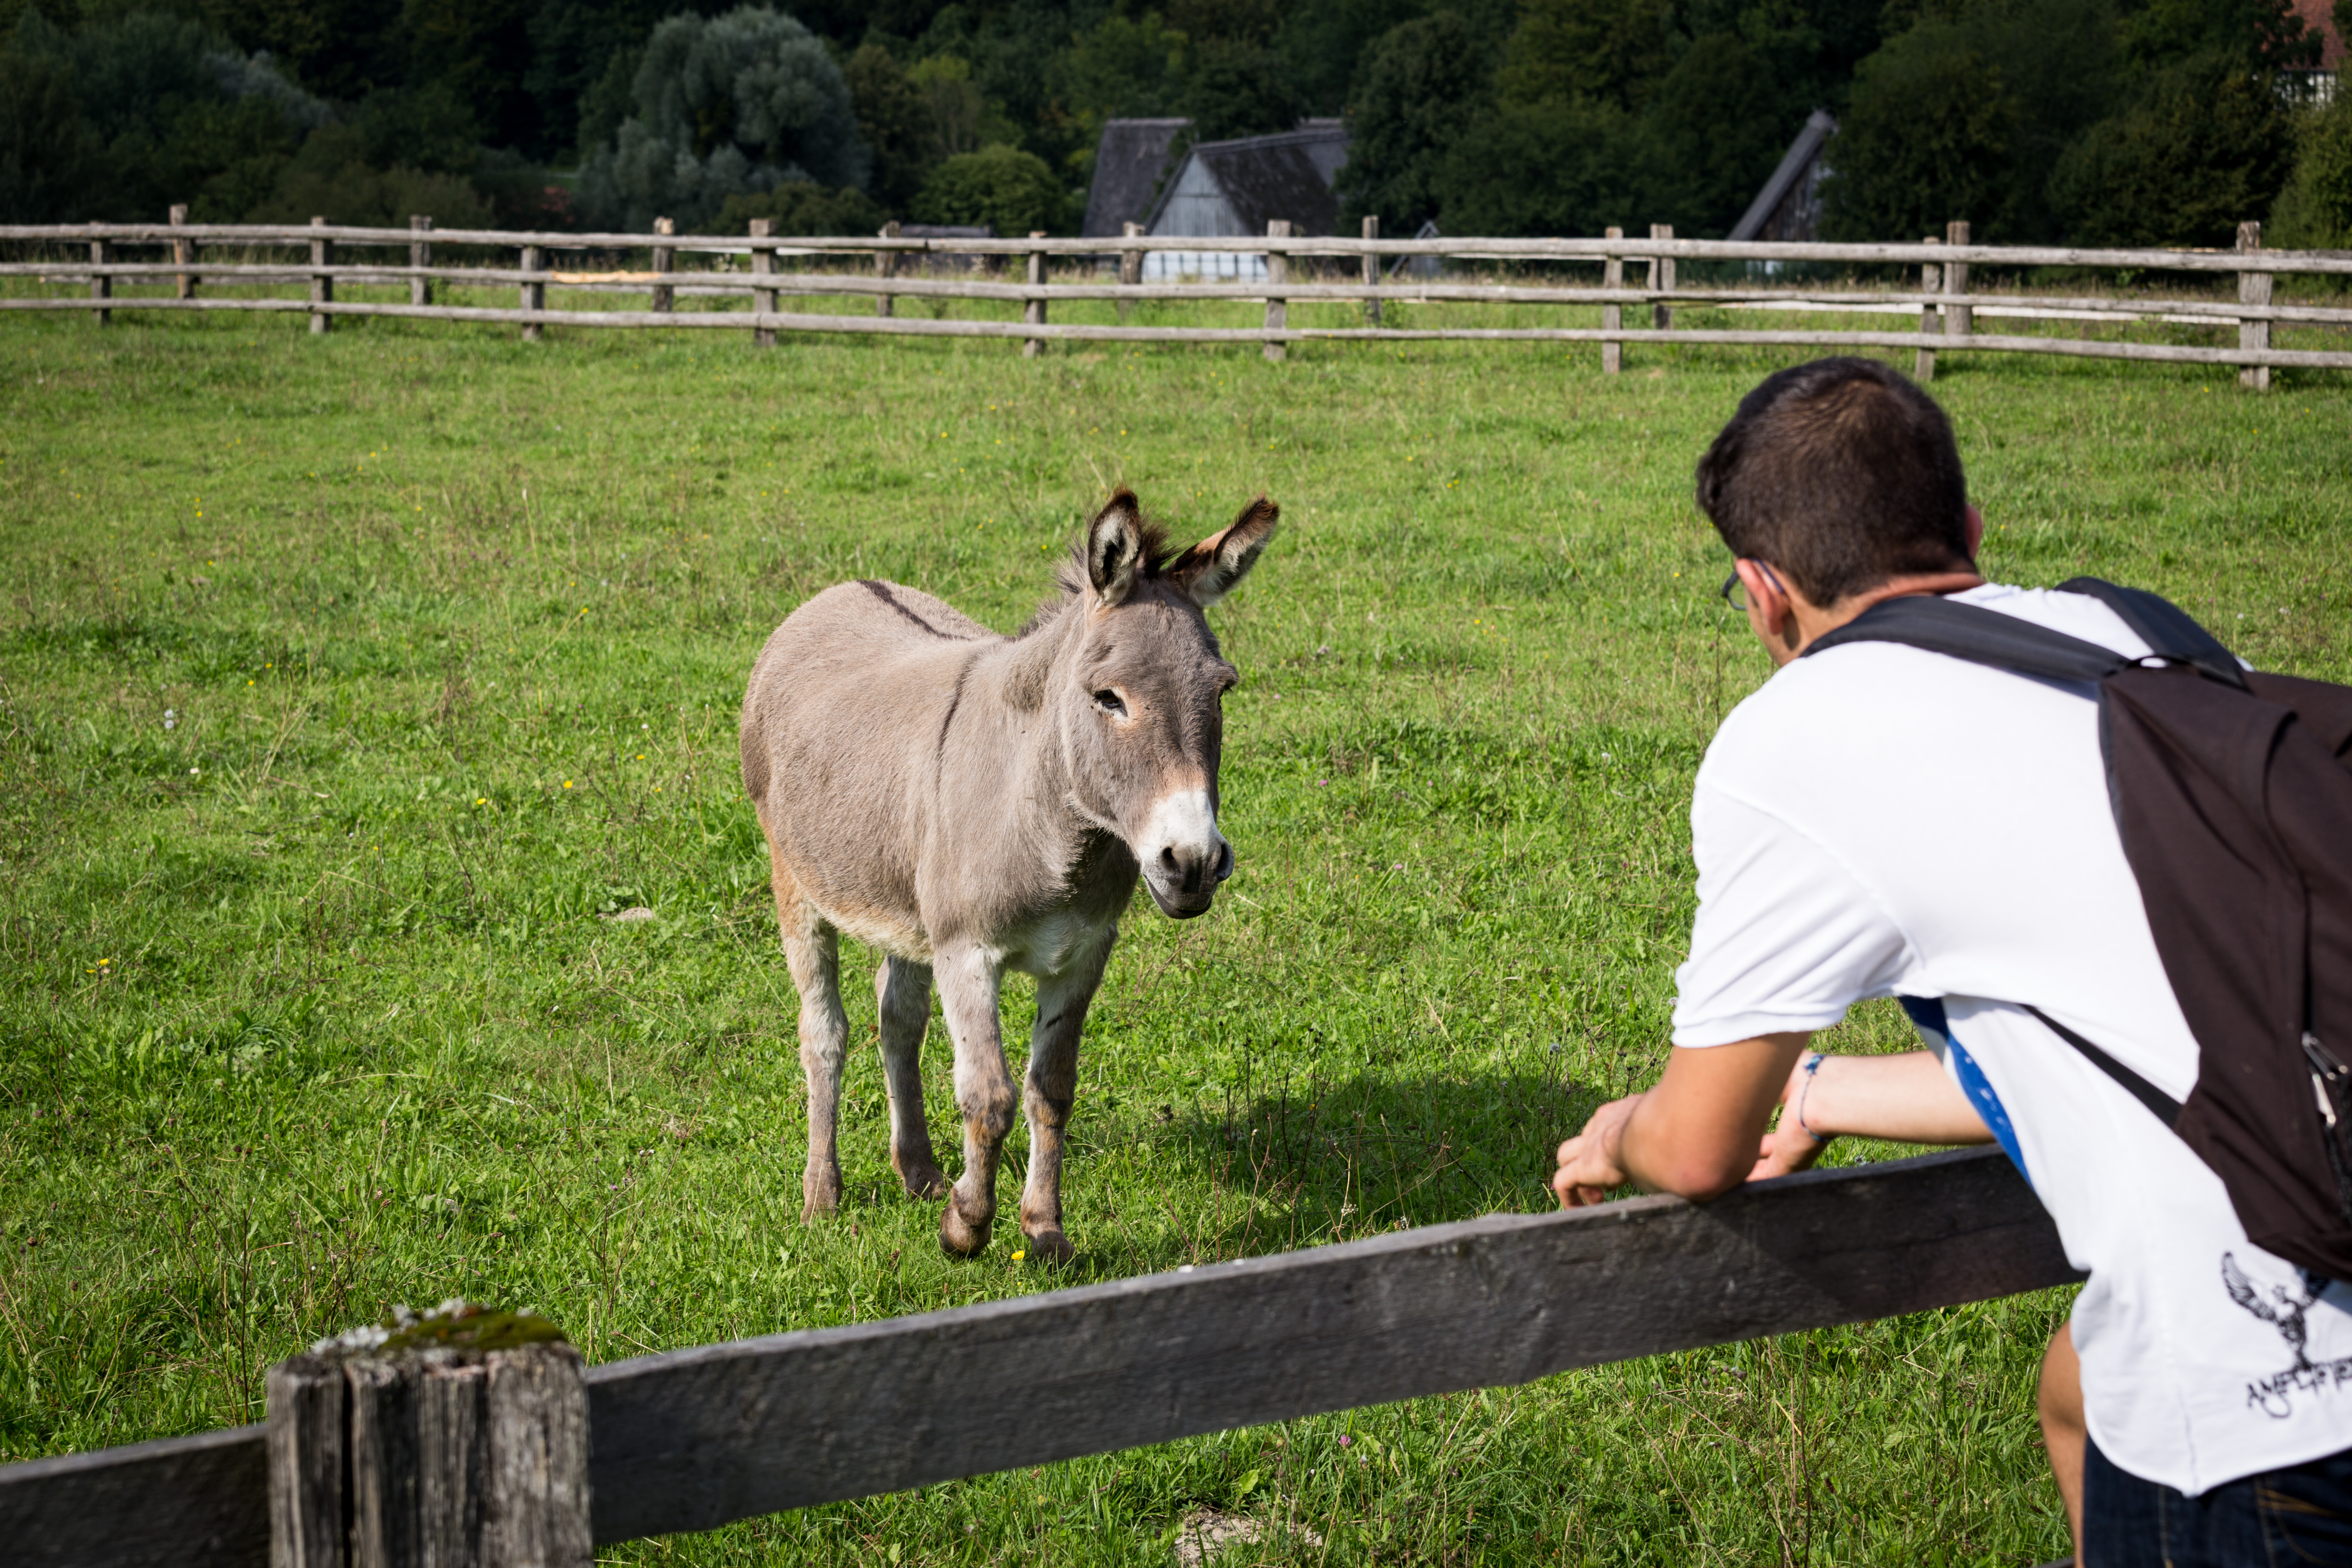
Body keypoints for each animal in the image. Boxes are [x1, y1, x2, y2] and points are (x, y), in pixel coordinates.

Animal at [739, 489, 1279, 1259]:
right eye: (1107, 697)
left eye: (1224, 689)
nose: (1194, 863)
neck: (1052, 820)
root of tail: (842, 588)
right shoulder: (967, 951)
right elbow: (987, 1094)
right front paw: (967, 1226)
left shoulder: (1083, 953)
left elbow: (1050, 1088)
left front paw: (1042, 1228)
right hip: (797, 882)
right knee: (824, 1032)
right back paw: (823, 1195)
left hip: (909, 908)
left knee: (896, 1016)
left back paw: (919, 1172)